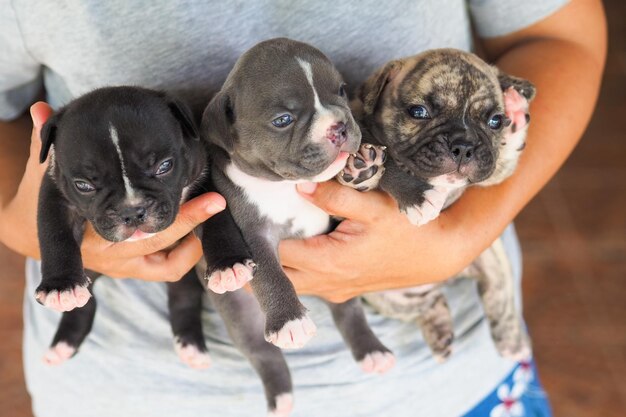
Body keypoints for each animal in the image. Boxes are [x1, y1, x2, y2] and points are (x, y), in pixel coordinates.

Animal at [197, 37, 392, 414]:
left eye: (341, 90)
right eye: (283, 120)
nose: (338, 126)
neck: (285, 187)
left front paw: (363, 170)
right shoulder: (253, 234)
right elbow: (270, 274)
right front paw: (289, 320)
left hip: (341, 290)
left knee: (349, 313)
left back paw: (372, 351)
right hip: (239, 315)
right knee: (263, 353)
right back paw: (281, 396)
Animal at [336, 48, 536, 360]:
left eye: (495, 121)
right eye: (418, 112)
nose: (464, 146)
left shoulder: (491, 172)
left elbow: (502, 162)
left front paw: (515, 119)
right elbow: (386, 164)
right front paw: (376, 175)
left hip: (490, 259)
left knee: (498, 294)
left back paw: (511, 341)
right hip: (381, 296)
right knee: (426, 306)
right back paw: (440, 328)